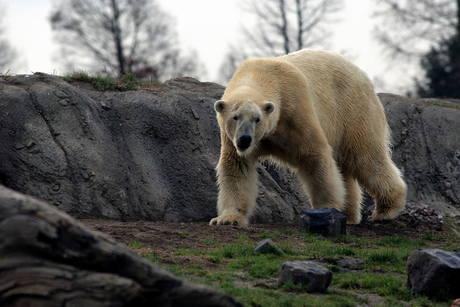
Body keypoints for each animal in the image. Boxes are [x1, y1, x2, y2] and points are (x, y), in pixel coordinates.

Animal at [208, 49, 406, 227]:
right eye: (235, 117)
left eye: (257, 119)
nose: (245, 139)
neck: (261, 74)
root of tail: (361, 73)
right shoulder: (231, 138)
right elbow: (236, 167)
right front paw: (228, 219)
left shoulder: (295, 110)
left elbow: (315, 156)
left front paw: (325, 210)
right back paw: (349, 214)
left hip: (353, 109)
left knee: (365, 156)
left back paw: (386, 210)